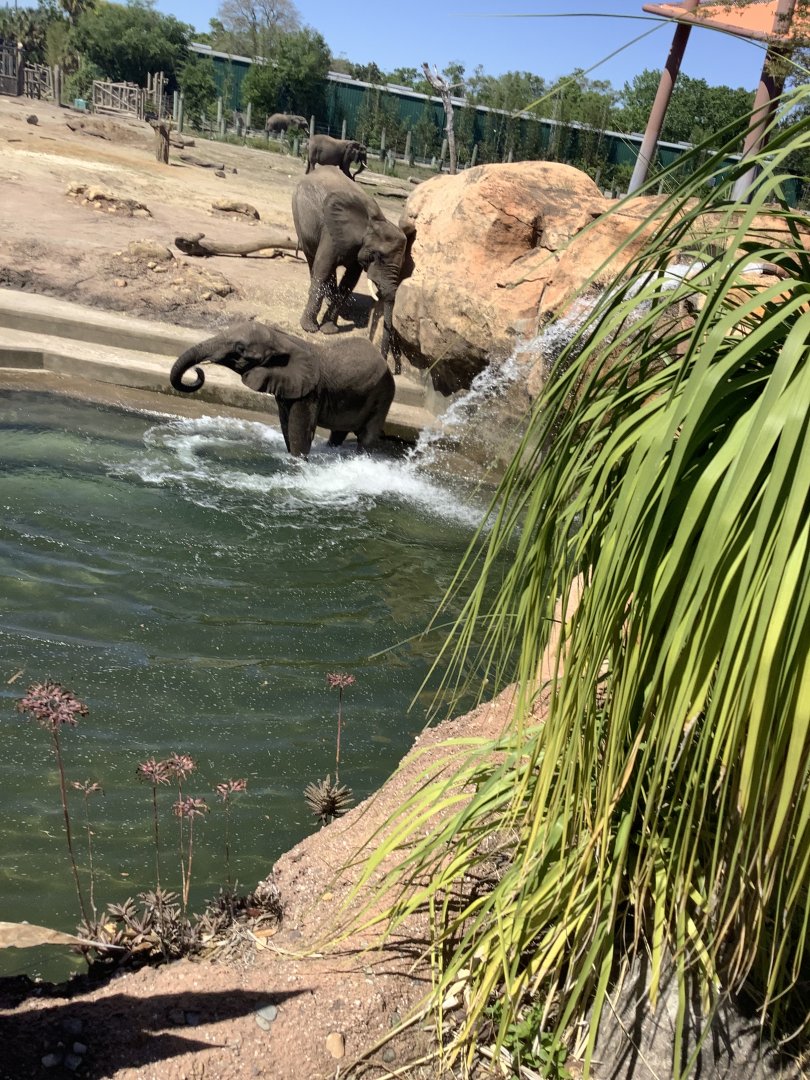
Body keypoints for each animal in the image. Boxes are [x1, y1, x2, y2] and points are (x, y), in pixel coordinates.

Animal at [168, 320, 395, 459]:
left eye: (240, 350)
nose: (198, 371)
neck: (283, 339)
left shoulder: (310, 392)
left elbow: (299, 433)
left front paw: (298, 464)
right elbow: (286, 426)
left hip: (384, 394)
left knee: (366, 436)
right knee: (338, 433)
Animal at [292, 168, 412, 372]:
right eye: (378, 256)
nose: (394, 369)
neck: (374, 221)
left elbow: (350, 281)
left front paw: (329, 329)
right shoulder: (332, 232)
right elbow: (323, 268)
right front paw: (310, 328)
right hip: (299, 217)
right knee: (313, 261)